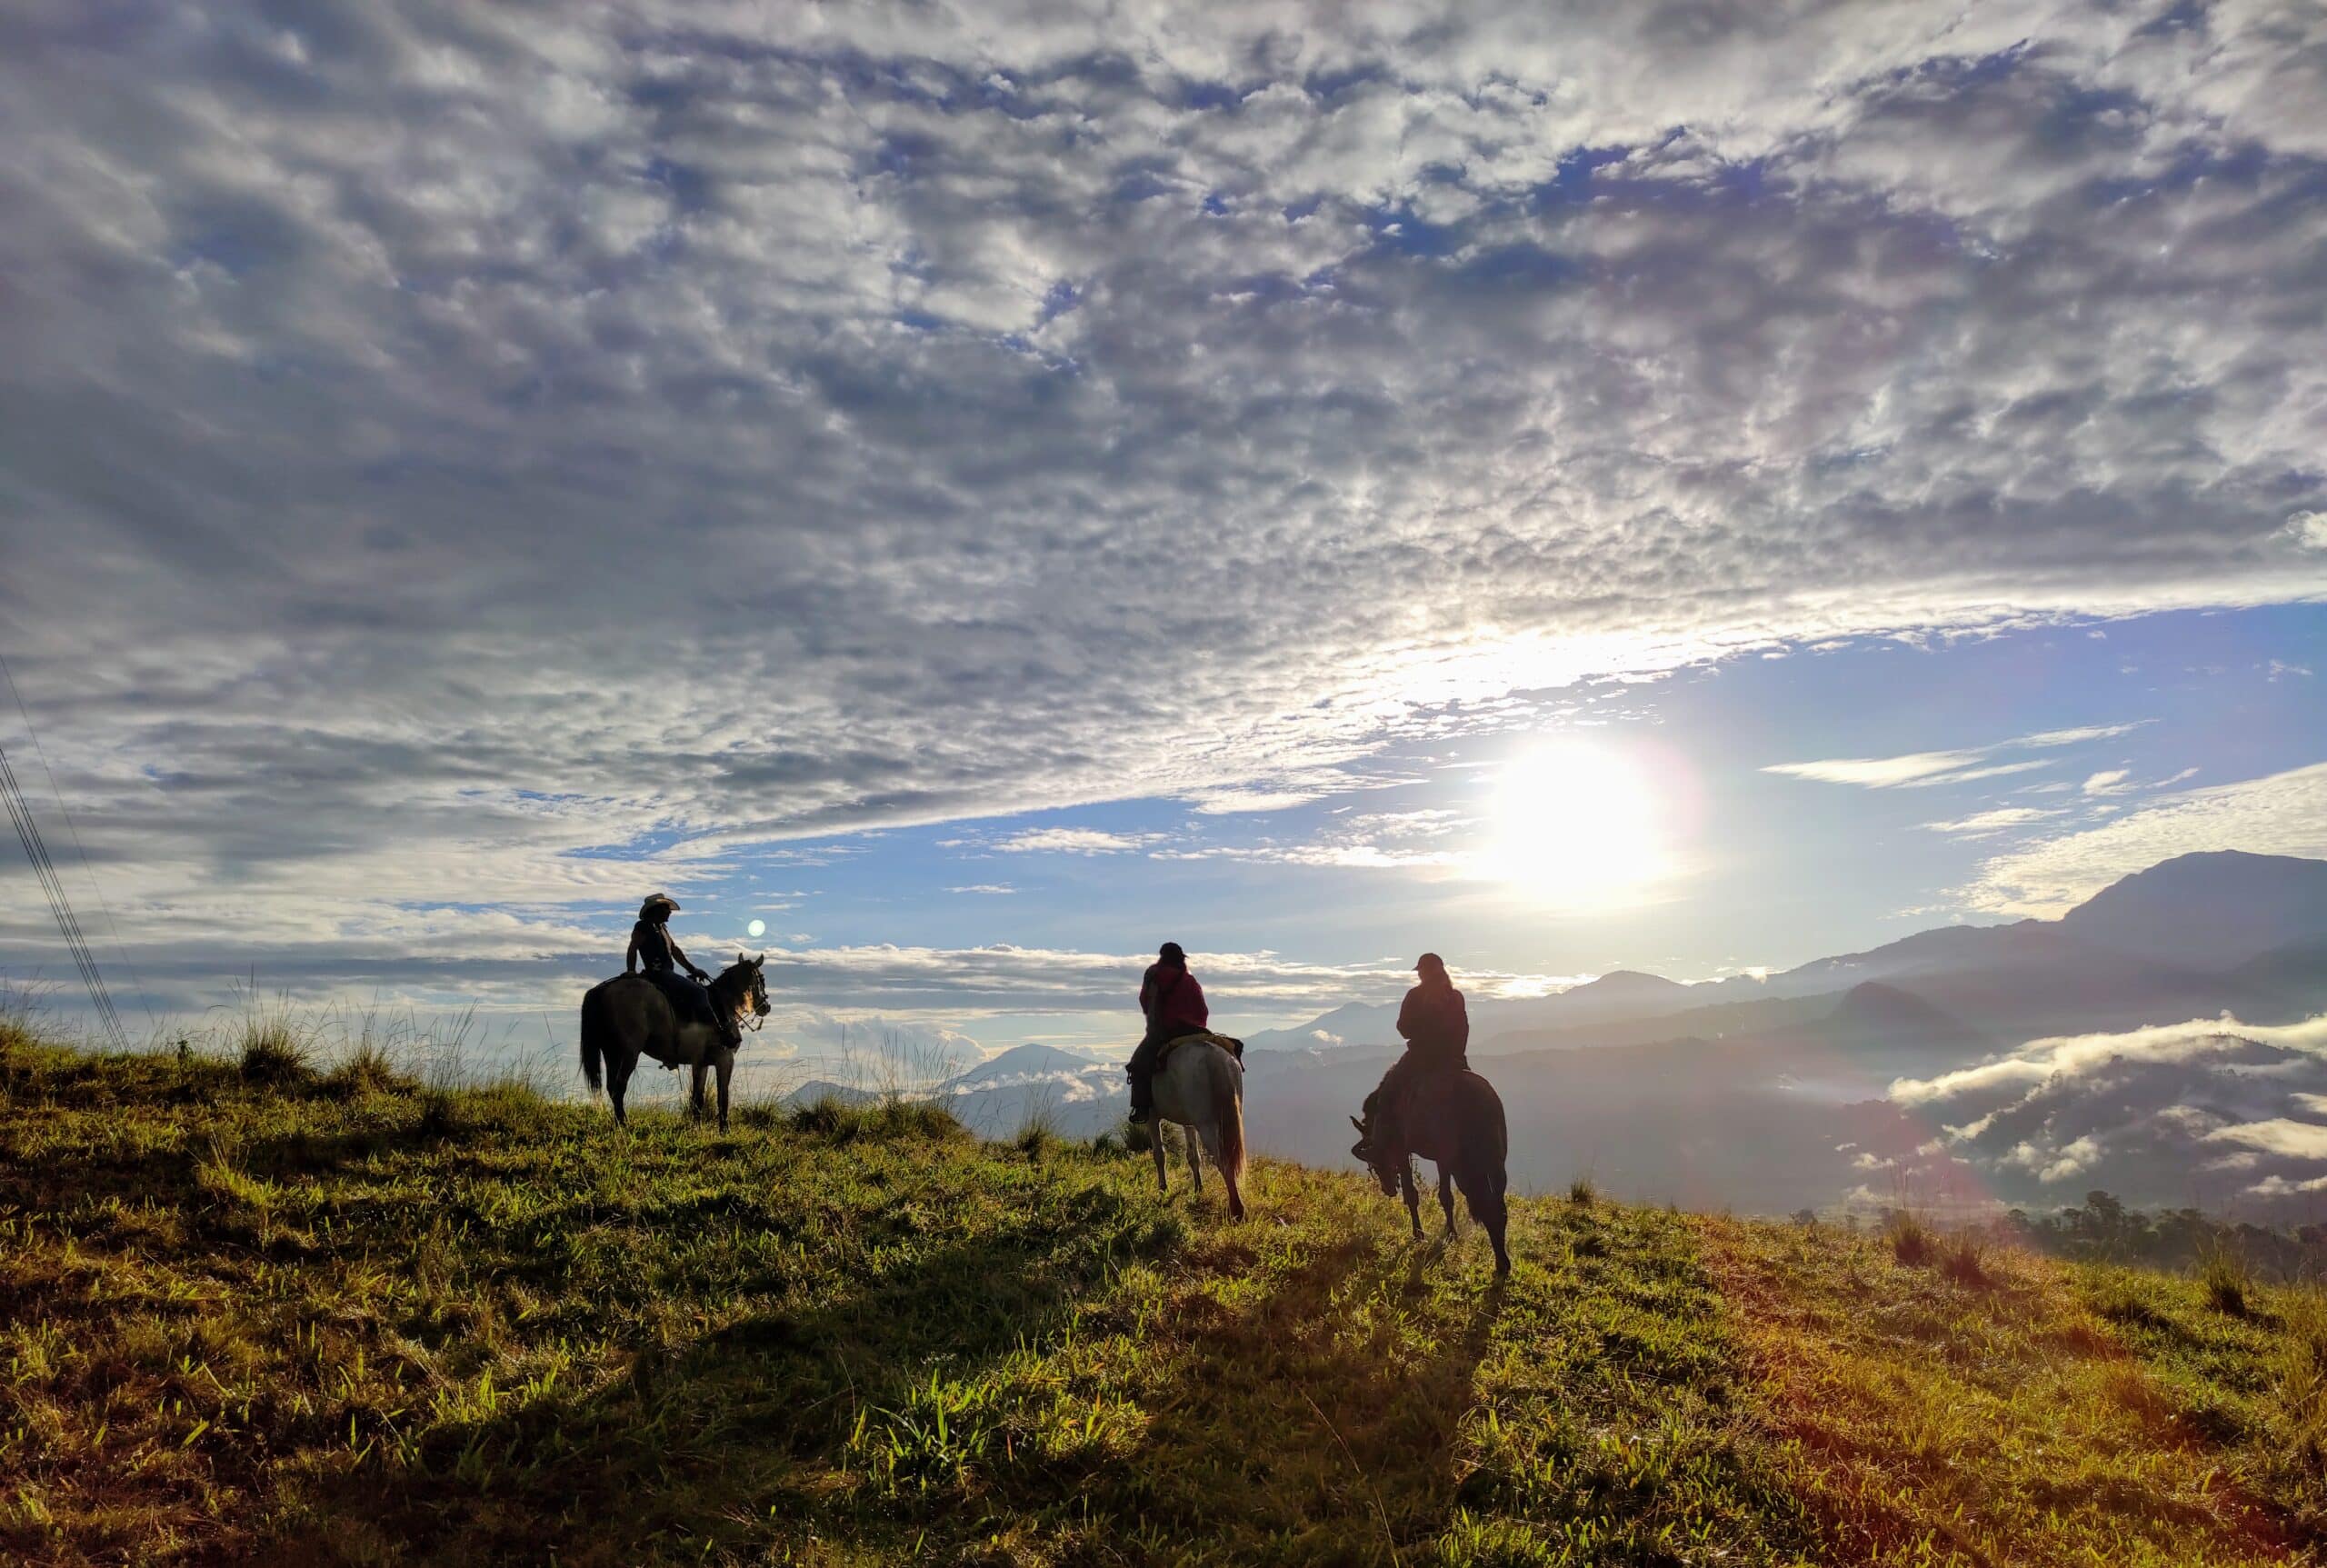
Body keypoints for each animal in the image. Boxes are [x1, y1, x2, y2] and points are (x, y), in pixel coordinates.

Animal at [1140, 1037, 1237, 1219]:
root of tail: (1213, 1056)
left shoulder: (1152, 1117)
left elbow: (1159, 1154)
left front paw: (1163, 1190)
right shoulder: (1188, 1123)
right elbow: (1193, 1156)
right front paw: (1198, 1188)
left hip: (1206, 1123)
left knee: (1222, 1160)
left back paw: (1237, 1210)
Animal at [1359, 1061, 1517, 1265]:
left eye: (1375, 1164)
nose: (1388, 1189)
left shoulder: (1402, 1151)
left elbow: (1412, 1195)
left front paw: (1418, 1235)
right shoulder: (1442, 1160)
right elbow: (1446, 1197)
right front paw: (1451, 1234)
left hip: (1465, 1170)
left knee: (1488, 1208)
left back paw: (1502, 1263)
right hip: (1495, 1165)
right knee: (1499, 1208)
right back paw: (1502, 1260)